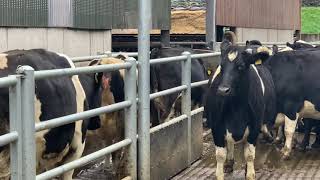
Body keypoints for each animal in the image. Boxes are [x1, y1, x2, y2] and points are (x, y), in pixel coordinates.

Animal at [205, 32, 278, 180]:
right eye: (221, 66)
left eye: (241, 66)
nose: (223, 90)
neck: (236, 109)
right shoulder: (217, 127)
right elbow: (220, 155)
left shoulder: (254, 128)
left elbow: (249, 154)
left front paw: (249, 173)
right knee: (230, 144)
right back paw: (229, 163)